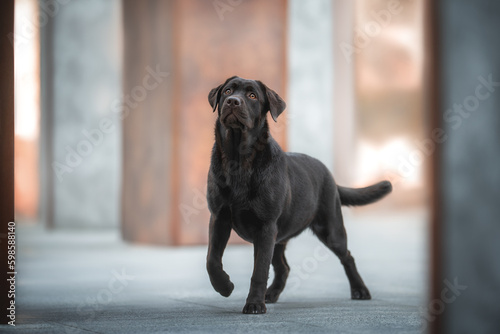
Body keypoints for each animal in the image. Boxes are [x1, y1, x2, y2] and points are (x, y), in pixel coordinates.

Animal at [205, 75, 392, 314]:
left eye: (252, 95)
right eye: (228, 91)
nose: (233, 102)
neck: (239, 160)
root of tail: (329, 173)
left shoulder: (265, 227)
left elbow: (259, 270)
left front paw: (254, 304)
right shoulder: (219, 217)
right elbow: (212, 259)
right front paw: (225, 286)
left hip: (330, 228)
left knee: (347, 257)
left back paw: (360, 290)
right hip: (280, 238)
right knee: (283, 268)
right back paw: (271, 294)